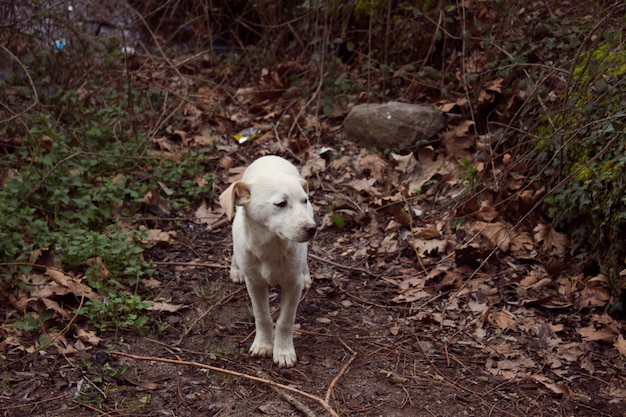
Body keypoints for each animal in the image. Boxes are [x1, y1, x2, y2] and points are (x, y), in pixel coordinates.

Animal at [219, 156, 316, 368]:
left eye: (304, 200)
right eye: (280, 203)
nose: (312, 229)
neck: (272, 246)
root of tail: (270, 156)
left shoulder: (292, 285)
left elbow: (286, 320)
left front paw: (283, 351)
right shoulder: (255, 283)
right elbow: (262, 315)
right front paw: (263, 345)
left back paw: (306, 275)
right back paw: (236, 269)